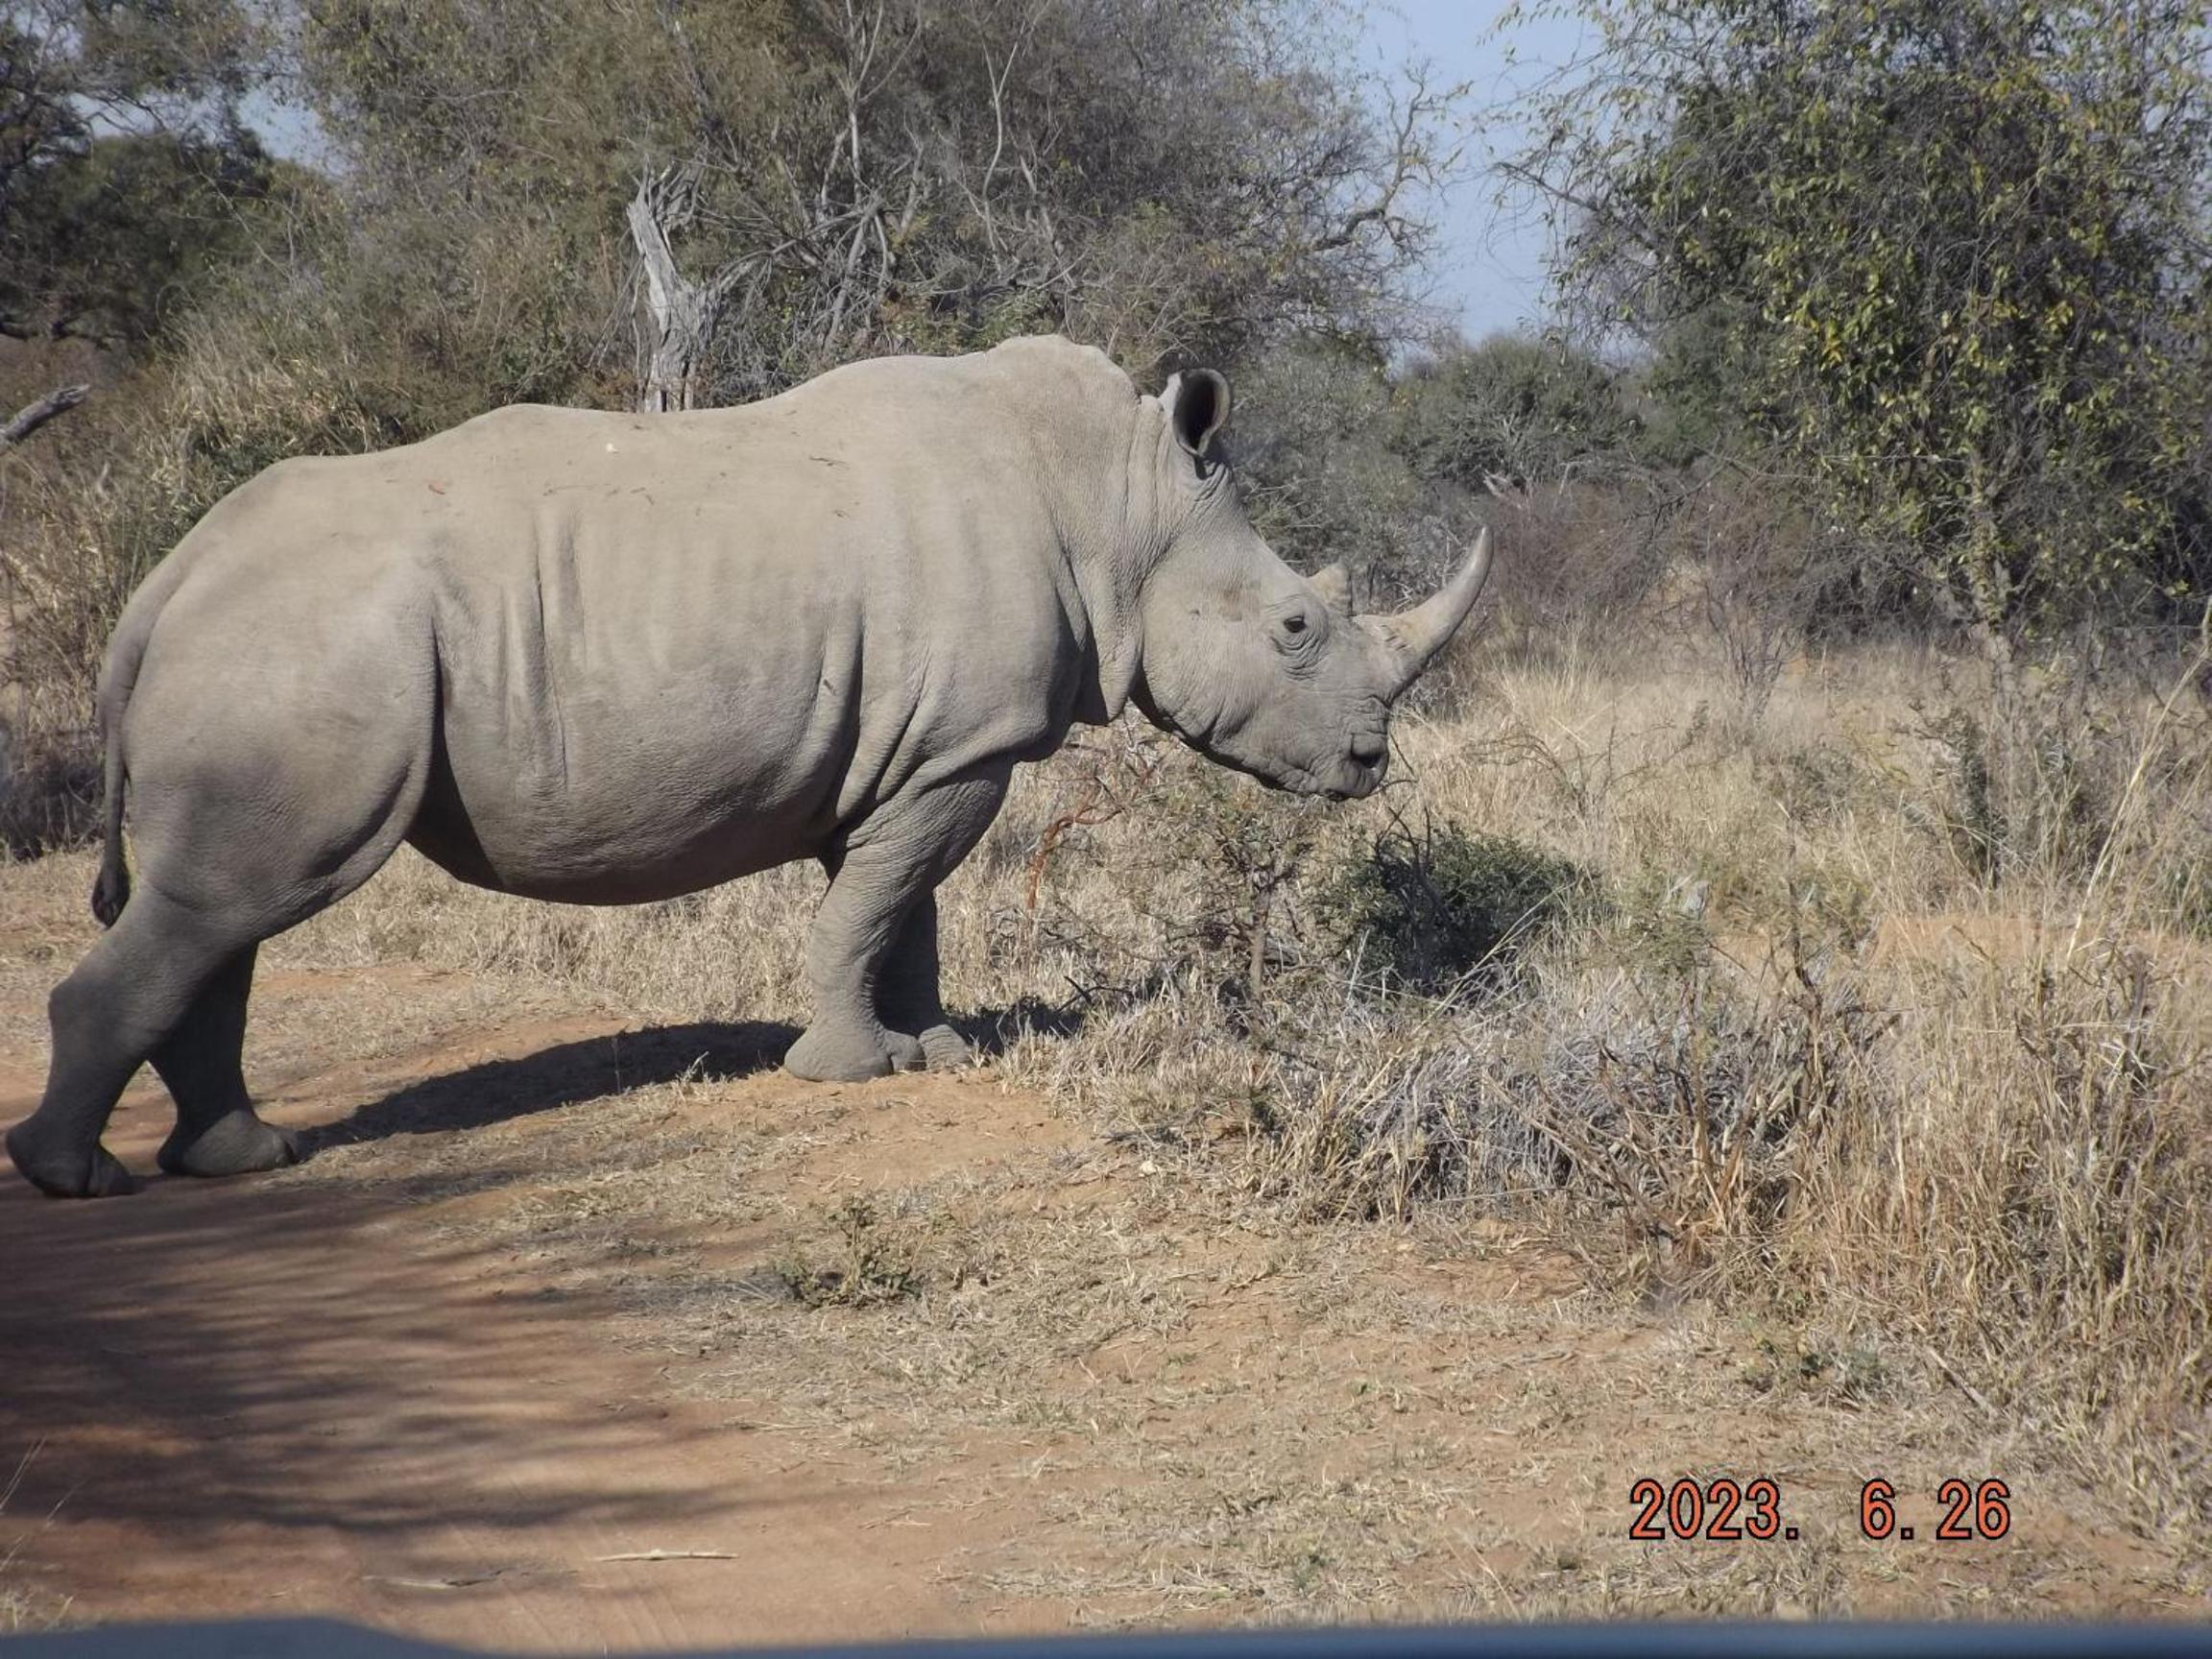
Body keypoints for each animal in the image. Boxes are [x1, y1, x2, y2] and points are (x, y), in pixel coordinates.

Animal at [5, 335, 1492, 1199]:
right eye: (1296, 627)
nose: (1371, 762)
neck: (1124, 508)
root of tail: (161, 584)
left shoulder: (916, 750)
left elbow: (897, 908)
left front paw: (931, 1051)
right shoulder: (964, 746)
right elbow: (874, 909)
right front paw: (850, 1073)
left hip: (275, 645)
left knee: (225, 908)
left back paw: (240, 1159)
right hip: (310, 643)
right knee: (238, 901)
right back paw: (80, 1183)